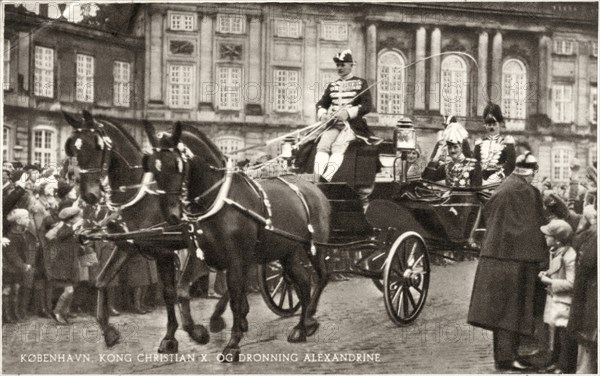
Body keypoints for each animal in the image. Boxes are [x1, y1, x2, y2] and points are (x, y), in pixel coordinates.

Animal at [62, 110, 227, 354]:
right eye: (73, 146)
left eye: (97, 146)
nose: (89, 196)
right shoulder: (129, 246)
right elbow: (102, 281)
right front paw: (111, 332)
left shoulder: (168, 250)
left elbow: (175, 290)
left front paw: (192, 331)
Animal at [144, 121, 332, 362]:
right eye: (152, 166)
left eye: (177, 165)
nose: (172, 215)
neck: (215, 201)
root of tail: (313, 187)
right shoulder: (200, 255)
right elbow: (182, 291)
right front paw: (196, 333)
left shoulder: (235, 259)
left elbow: (234, 297)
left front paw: (232, 344)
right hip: (287, 253)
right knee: (303, 281)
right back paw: (302, 326)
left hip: (315, 248)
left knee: (322, 276)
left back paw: (308, 319)